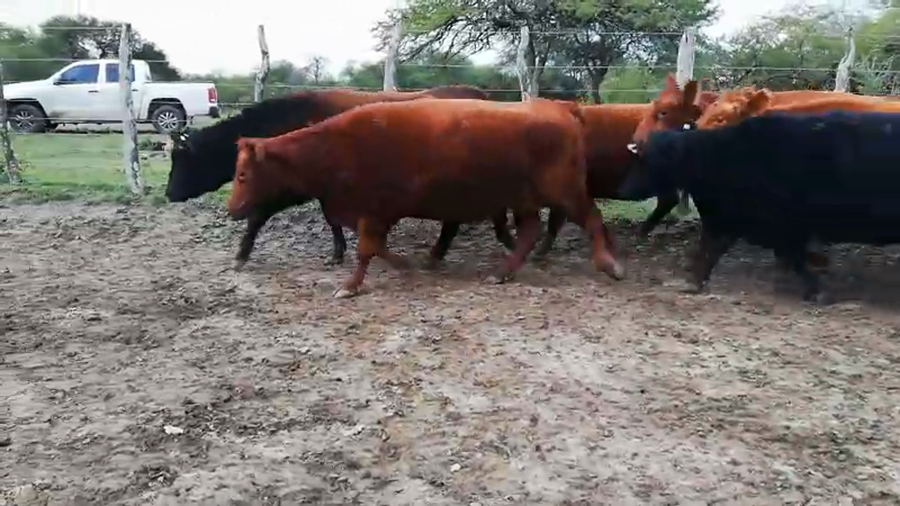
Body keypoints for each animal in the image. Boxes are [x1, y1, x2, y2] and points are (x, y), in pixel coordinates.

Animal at [164, 85, 515, 269]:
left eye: (181, 161)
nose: (168, 193)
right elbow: (330, 217)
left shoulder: (290, 187)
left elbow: (259, 216)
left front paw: (241, 254)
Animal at [228, 98, 625, 298]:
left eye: (243, 174)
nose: (232, 210)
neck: (336, 147)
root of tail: (560, 107)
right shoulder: (373, 215)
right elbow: (376, 248)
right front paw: (406, 265)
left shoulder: (372, 211)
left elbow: (367, 249)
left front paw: (351, 286)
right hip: (525, 200)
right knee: (529, 232)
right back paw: (502, 273)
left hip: (567, 192)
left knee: (592, 219)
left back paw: (610, 265)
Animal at [618, 109, 900, 304]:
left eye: (647, 161)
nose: (623, 190)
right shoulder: (734, 218)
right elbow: (713, 249)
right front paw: (695, 281)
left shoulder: (783, 226)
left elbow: (795, 258)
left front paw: (816, 290)